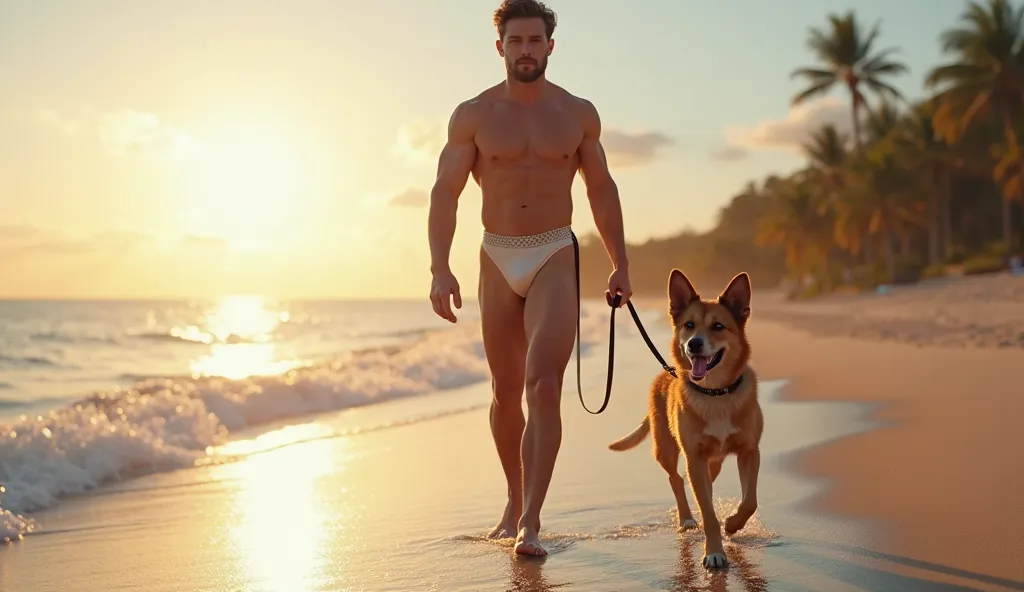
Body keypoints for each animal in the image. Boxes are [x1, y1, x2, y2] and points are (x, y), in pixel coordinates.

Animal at [606, 266, 761, 565]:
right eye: (689, 325)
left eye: (718, 326)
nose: (694, 344)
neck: (715, 394)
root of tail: (665, 373)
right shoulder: (695, 457)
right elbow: (708, 513)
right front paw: (714, 552)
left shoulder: (750, 451)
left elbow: (750, 501)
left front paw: (733, 523)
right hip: (667, 449)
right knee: (677, 479)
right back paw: (688, 518)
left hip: (712, 461)